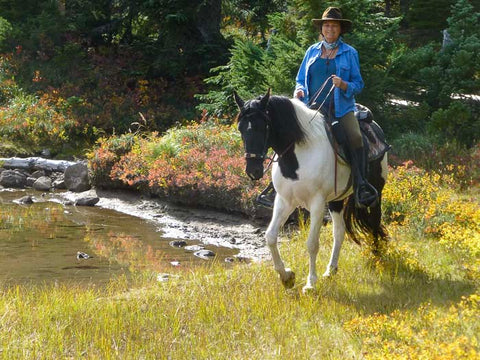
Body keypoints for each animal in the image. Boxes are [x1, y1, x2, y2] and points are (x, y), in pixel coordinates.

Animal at [234, 89, 388, 292]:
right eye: (241, 128)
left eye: (262, 127)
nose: (253, 171)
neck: (299, 154)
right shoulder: (284, 201)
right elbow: (271, 236)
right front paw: (286, 276)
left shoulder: (317, 204)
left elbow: (312, 244)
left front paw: (310, 284)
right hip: (336, 200)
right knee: (339, 232)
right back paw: (331, 270)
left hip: (376, 191)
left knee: (375, 222)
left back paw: (378, 259)